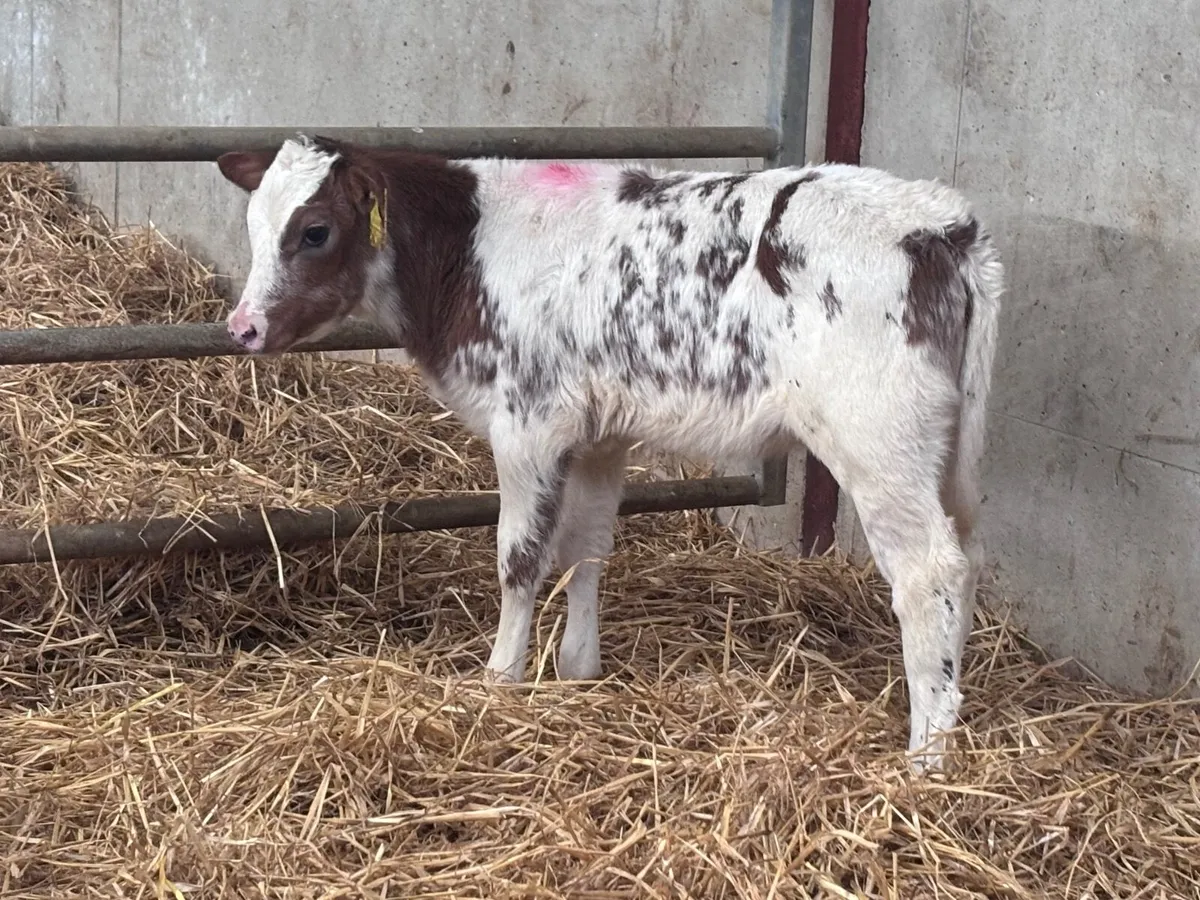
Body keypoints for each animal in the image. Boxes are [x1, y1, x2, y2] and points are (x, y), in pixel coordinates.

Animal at [215, 134, 1003, 772]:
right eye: (254, 226)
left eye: (315, 230)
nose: (242, 328)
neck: (468, 248)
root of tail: (941, 224)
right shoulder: (599, 434)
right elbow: (587, 548)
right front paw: (578, 669)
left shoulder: (529, 424)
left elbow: (520, 558)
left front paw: (500, 677)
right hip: (946, 451)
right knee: (966, 560)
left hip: (878, 442)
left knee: (928, 572)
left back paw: (927, 755)